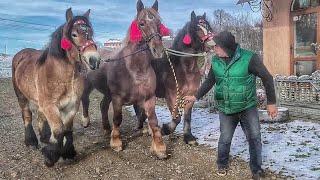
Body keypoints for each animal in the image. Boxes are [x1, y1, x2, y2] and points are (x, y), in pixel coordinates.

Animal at [11, 8, 99, 166]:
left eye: (90, 32)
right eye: (74, 34)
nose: (94, 60)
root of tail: (21, 54)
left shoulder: (72, 106)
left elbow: (67, 130)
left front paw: (68, 152)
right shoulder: (50, 106)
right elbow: (59, 130)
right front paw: (50, 156)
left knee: (40, 116)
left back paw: (45, 138)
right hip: (21, 96)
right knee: (27, 116)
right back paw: (31, 142)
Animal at [81, 0, 168, 158]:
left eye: (159, 23)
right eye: (141, 23)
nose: (158, 51)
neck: (134, 69)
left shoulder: (149, 98)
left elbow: (153, 120)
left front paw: (159, 147)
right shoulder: (117, 98)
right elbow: (117, 118)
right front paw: (116, 143)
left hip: (107, 93)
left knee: (103, 105)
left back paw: (106, 128)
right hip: (87, 85)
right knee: (85, 100)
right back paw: (86, 121)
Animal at [134, 11, 214, 145]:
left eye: (209, 27)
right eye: (197, 28)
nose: (213, 45)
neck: (184, 69)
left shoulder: (189, 96)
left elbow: (187, 117)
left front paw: (189, 137)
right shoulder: (171, 96)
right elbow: (177, 118)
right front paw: (165, 129)